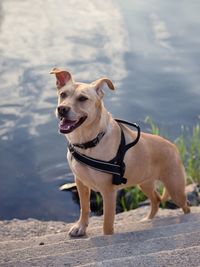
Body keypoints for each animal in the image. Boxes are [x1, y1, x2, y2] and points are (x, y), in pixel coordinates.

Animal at [50, 68, 191, 238]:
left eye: (82, 98)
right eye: (63, 94)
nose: (62, 109)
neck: (89, 142)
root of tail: (173, 146)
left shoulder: (108, 192)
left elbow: (107, 223)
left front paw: (107, 237)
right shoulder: (81, 182)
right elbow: (84, 208)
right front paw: (81, 227)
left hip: (175, 189)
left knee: (186, 206)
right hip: (145, 183)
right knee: (156, 200)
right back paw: (147, 220)